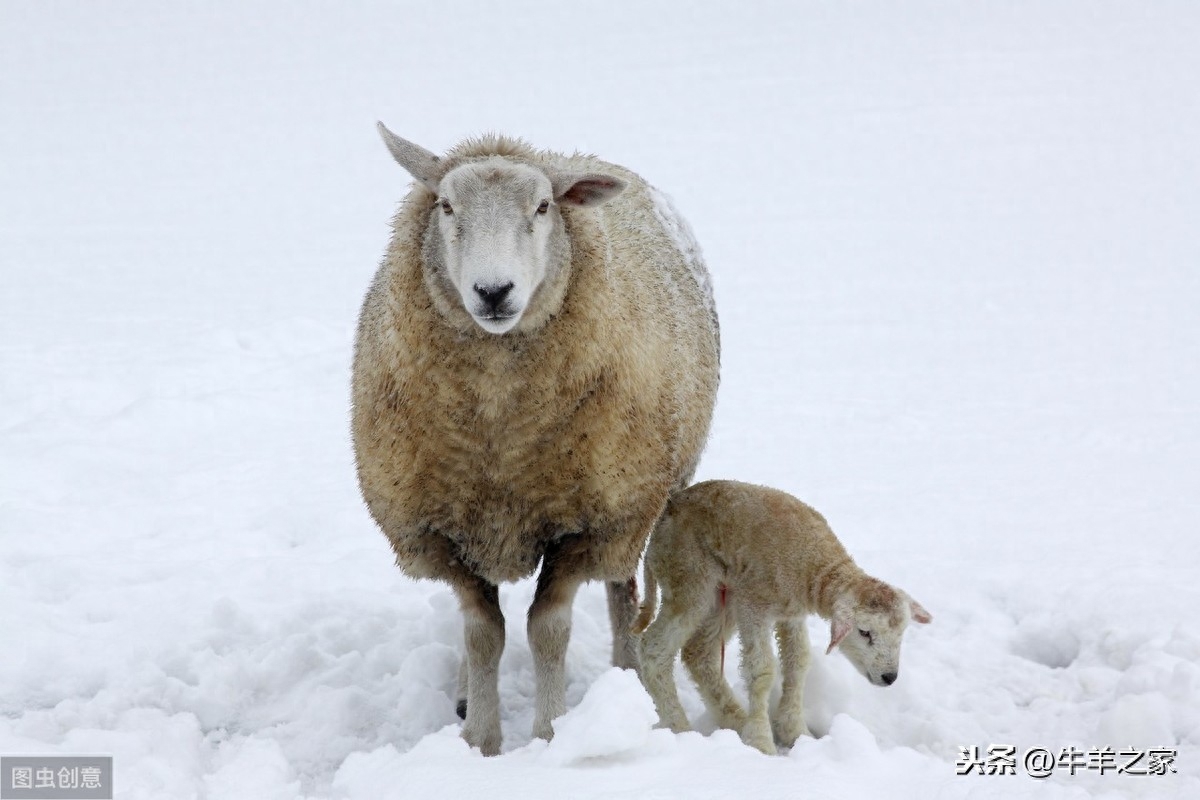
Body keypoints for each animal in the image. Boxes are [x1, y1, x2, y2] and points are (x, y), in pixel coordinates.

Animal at [350, 125, 715, 758]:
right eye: (447, 205)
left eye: (543, 206)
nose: (493, 291)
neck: (501, 436)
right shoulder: (443, 531)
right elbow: (482, 634)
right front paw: (480, 739)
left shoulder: (587, 524)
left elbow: (547, 632)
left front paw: (549, 733)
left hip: (634, 498)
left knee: (622, 590)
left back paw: (627, 673)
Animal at [633, 482, 931, 758]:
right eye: (865, 632)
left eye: (902, 633)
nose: (890, 677)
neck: (814, 565)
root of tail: (664, 514)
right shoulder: (754, 605)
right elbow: (761, 670)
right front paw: (762, 742)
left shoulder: (792, 613)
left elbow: (798, 663)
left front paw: (796, 732)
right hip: (689, 579)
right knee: (653, 649)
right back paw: (680, 728)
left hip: (723, 594)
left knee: (699, 653)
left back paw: (734, 719)